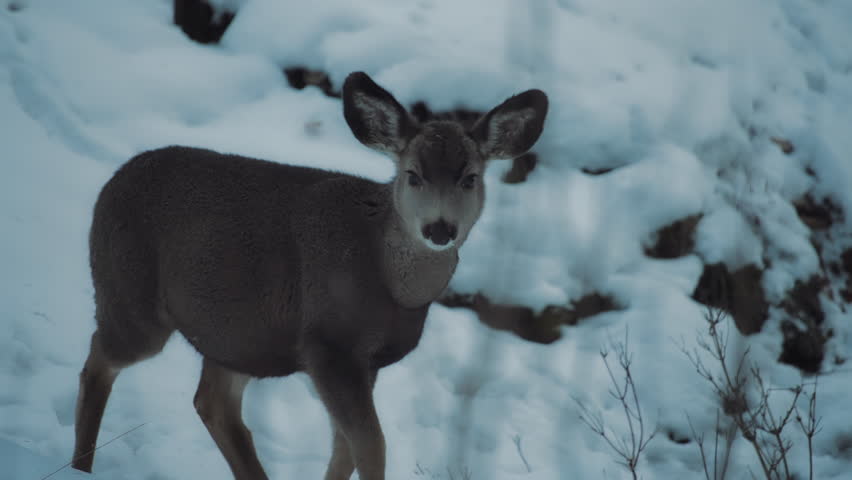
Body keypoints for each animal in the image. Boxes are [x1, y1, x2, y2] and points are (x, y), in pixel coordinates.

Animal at [73, 71, 544, 480]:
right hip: (130, 295)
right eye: (412, 175)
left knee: (213, 402)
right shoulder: (328, 344)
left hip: (237, 335)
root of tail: (111, 184)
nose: (440, 229)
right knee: (99, 359)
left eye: (470, 178)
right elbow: (370, 446)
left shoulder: (363, 361)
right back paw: (81, 466)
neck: (392, 283)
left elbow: (345, 449)